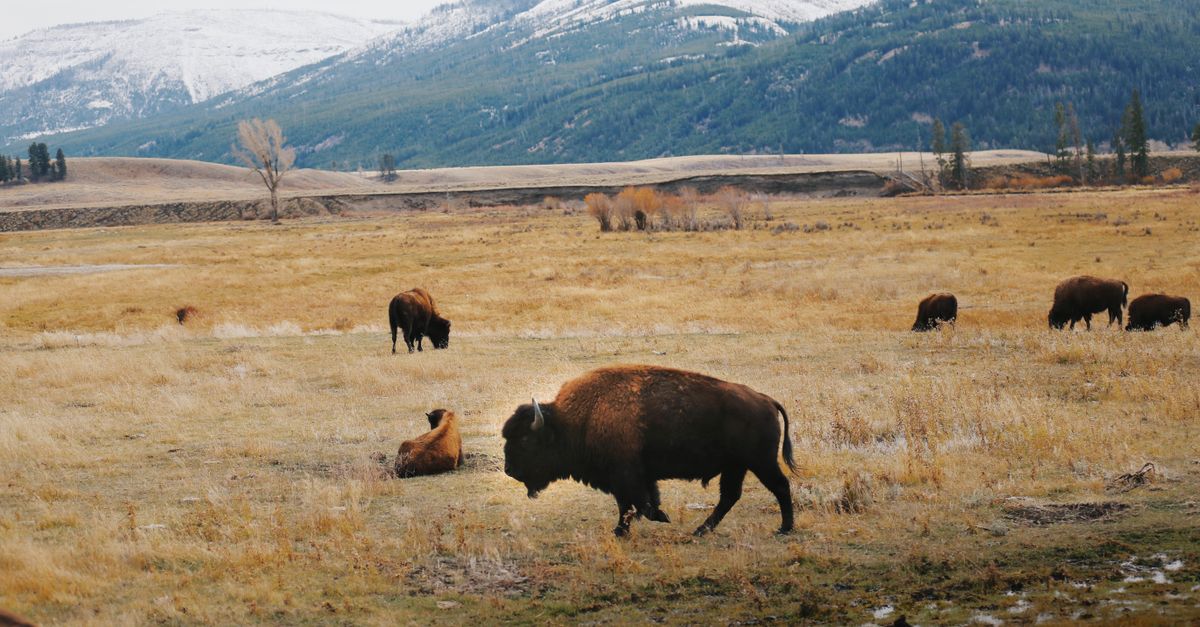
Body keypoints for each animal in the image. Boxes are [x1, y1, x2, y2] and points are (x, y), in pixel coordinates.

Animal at [502, 365, 795, 537]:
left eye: (525, 439)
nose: (509, 470)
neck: (579, 418)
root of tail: (766, 400)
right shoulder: (637, 476)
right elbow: (638, 502)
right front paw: (626, 529)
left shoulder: (624, 475)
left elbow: (633, 503)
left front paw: (648, 522)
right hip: (736, 466)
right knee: (730, 496)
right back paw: (701, 530)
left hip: (760, 462)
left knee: (780, 486)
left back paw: (784, 529)